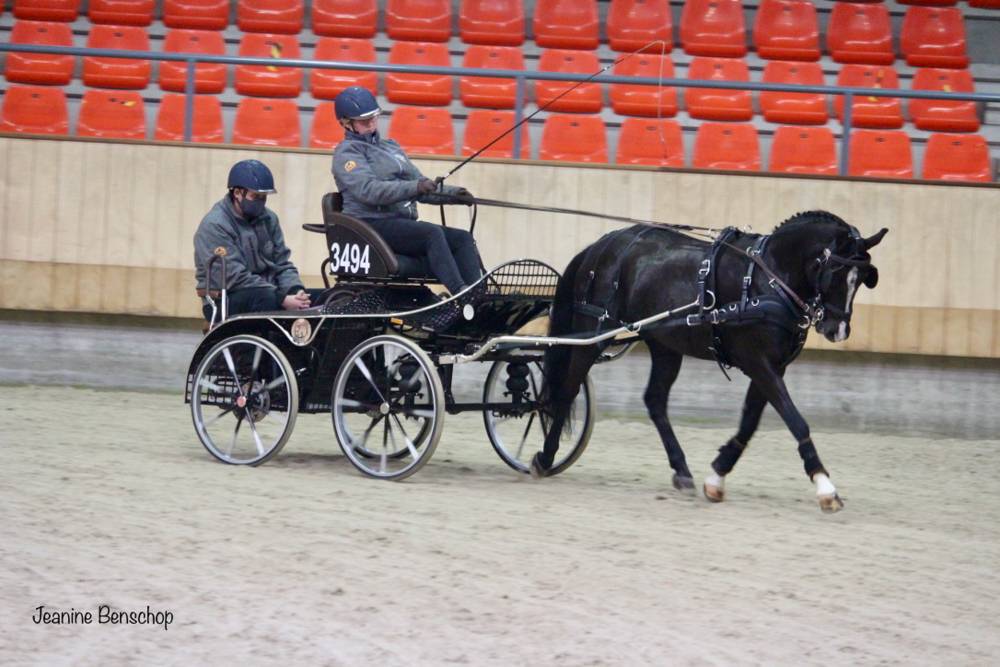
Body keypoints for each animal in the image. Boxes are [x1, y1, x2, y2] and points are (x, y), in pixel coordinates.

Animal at [536, 211, 888, 516]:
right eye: (835, 274)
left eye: (861, 279)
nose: (837, 330)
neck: (767, 279)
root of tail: (601, 245)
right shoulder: (758, 362)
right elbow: (796, 421)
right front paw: (825, 487)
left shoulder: (772, 365)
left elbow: (749, 422)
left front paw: (717, 477)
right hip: (593, 333)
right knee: (567, 390)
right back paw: (546, 457)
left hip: (665, 345)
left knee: (654, 400)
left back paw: (681, 470)